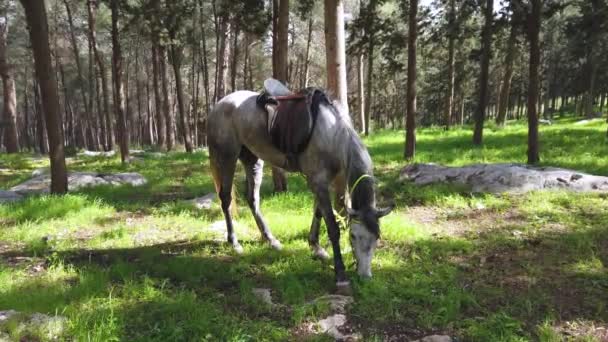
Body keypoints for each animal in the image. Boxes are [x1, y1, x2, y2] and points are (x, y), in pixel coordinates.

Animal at [207, 80, 392, 292]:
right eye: (353, 236)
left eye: (376, 237)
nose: (364, 277)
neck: (332, 134)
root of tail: (219, 105)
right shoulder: (318, 181)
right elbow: (332, 226)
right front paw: (340, 273)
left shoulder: (326, 181)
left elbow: (318, 213)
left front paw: (316, 248)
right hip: (226, 157)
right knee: (226, 199)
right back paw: (234, 242)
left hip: (252, 159)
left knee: (252, 200)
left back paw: (270, 240)